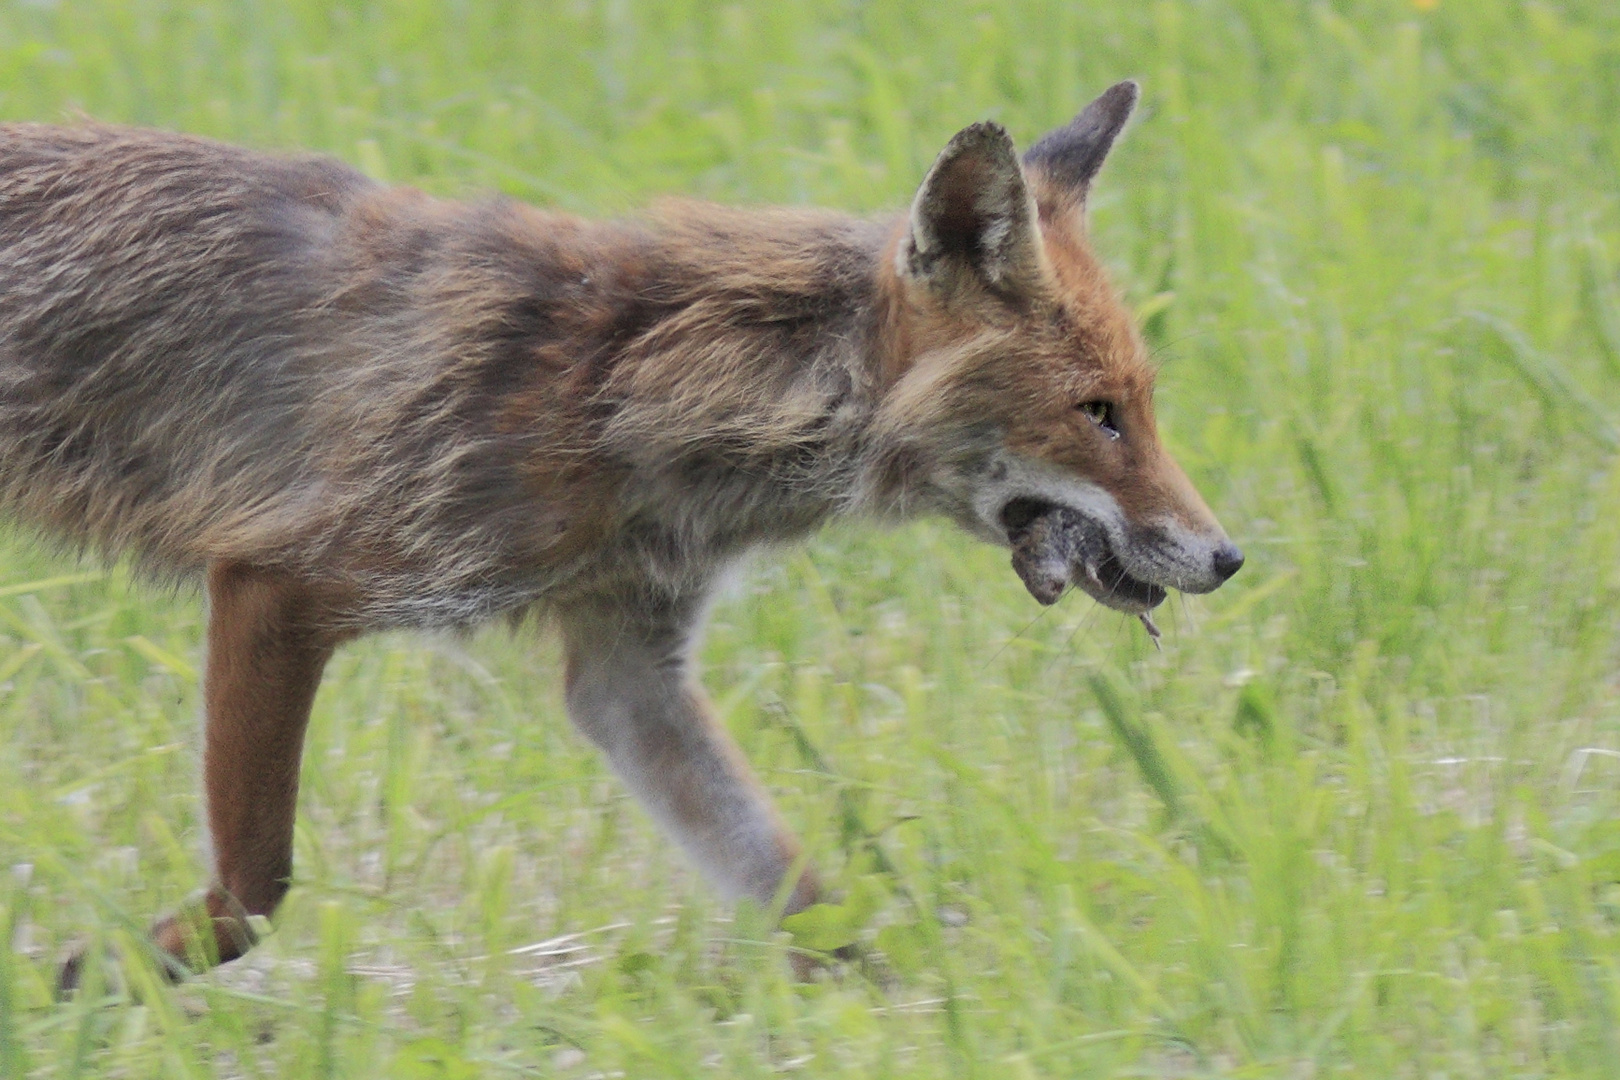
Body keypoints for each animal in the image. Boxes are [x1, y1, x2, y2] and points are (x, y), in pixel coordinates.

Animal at [0, 80, 1237, 984]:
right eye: (1099, 414)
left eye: (1143, 404)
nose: (1228, 558)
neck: (626, 394)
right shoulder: (279, 585)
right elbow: (254, 894)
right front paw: (89, 986)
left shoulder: (627, 669)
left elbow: (803, 898)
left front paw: (917, 1016)